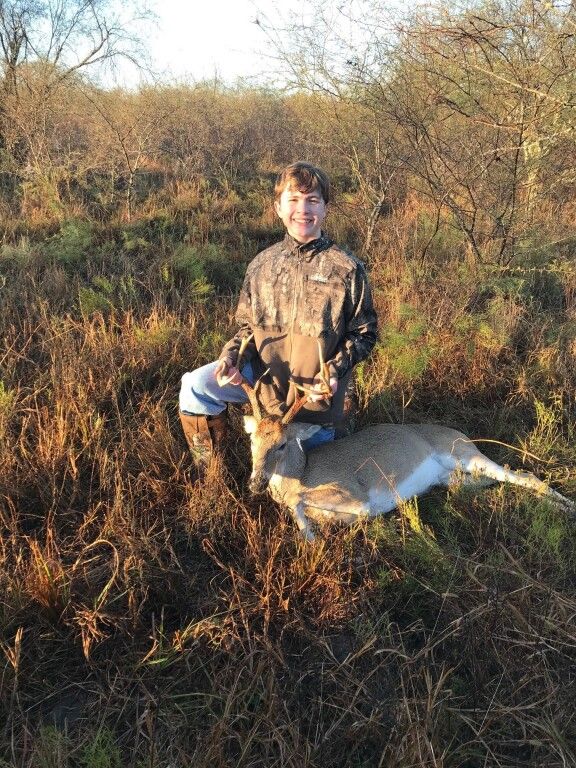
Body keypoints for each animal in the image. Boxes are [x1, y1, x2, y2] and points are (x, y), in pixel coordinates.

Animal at [236, 337, 575, 540]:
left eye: (282, 444)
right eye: (253, 441)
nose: (254, 483)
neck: (303, 473)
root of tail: (458, 433)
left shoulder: (356, 495)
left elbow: (303, 504)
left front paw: (311, 535)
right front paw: (311, 534)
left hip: (464, 454)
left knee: (524, 475)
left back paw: (566, 507)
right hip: (452, 478)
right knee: (496, 482)